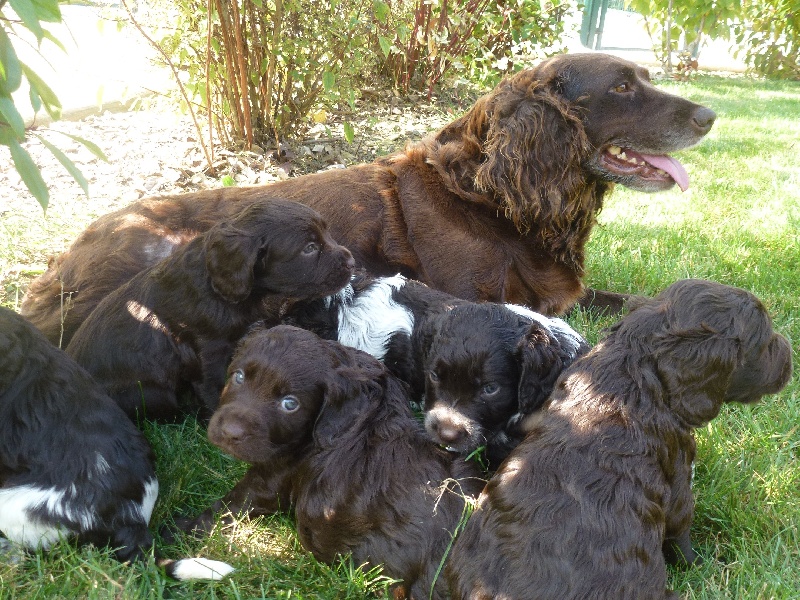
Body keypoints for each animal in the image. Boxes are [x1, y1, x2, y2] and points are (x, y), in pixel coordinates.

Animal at [446, 278, 792, 596]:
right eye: (763, 342)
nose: (790, 355)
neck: (629, 377)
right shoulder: (679, 481)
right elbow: (681, 535)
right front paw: (703, 565)